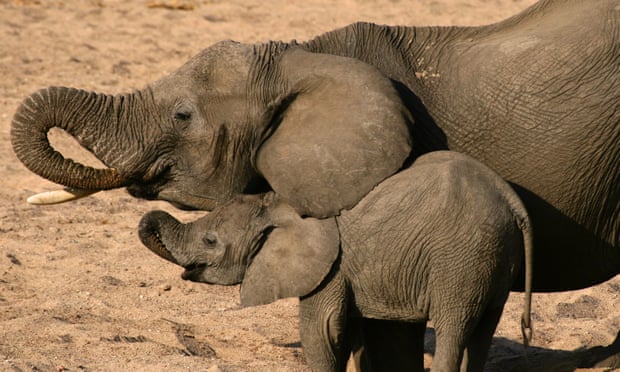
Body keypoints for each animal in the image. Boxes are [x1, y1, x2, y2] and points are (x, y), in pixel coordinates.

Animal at [139, 151, 532, 372]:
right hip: (494, 260)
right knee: (481, 336)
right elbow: (350, 334)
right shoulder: (347, 272)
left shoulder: (330, 267)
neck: (276, 203)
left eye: (211, 241)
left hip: (460, 260)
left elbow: (322, 331)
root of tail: (512, 202)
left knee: (453, 330)